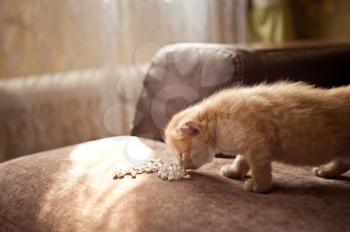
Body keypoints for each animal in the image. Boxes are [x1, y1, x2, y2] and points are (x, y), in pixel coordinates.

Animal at [164, 82, 350, 193]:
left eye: (180, 154)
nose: (182, 166)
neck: (219, 120)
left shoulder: (258, 145)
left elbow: (259, 168)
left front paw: (260, 186)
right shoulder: (248, 145)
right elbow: (241, 160)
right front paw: (234, 171)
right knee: (343, 163)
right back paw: (327, 171)